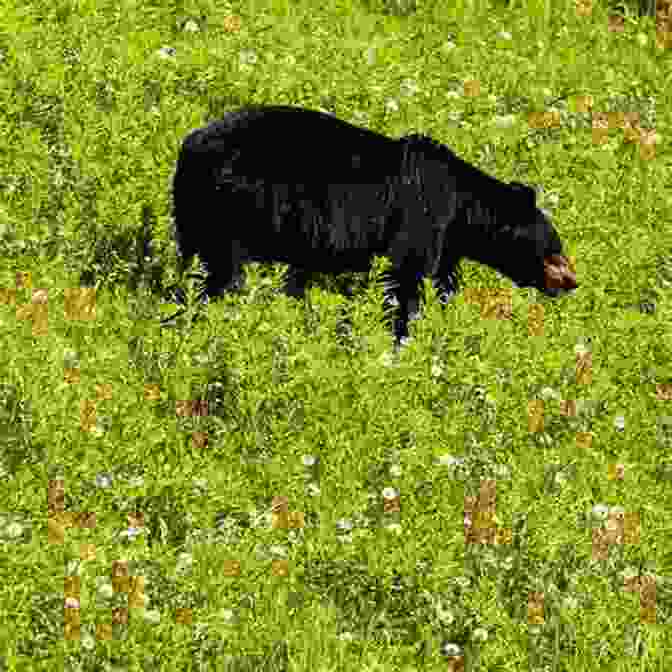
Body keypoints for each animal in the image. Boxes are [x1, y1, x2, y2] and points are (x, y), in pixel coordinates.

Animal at [171, 107, 576, 344]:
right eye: (555, 249)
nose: (572, 281)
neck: (461, 208)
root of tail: (189, 146)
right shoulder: (421, 218)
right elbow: (404, 279)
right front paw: (401, 338)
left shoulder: (447, 243)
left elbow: (442, 282)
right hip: (235, 210)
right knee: (224, 274)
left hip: (196, 215)